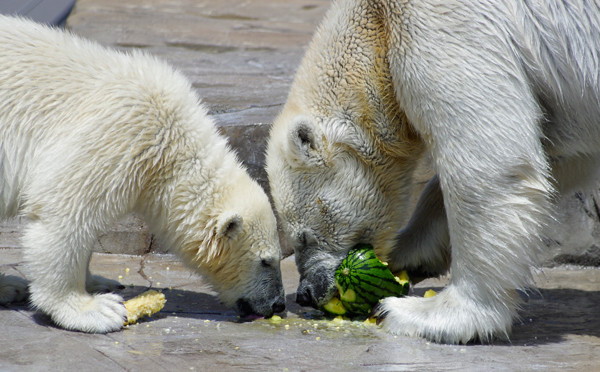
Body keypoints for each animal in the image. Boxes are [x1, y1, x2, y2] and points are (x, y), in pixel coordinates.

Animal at [0, 16, 286, 332]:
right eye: (266, 261)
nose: (279, 304)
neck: (172, 143)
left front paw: (99, 282)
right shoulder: (122, 133)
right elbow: (64, 212)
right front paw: (94, 309)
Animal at [268, 0, 600, 342]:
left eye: (302, 237)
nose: (306, 292)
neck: (375, 24)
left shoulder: (441, 25)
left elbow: (489, 164)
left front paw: (425, 312)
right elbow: (561, 153)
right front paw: (409, 253)